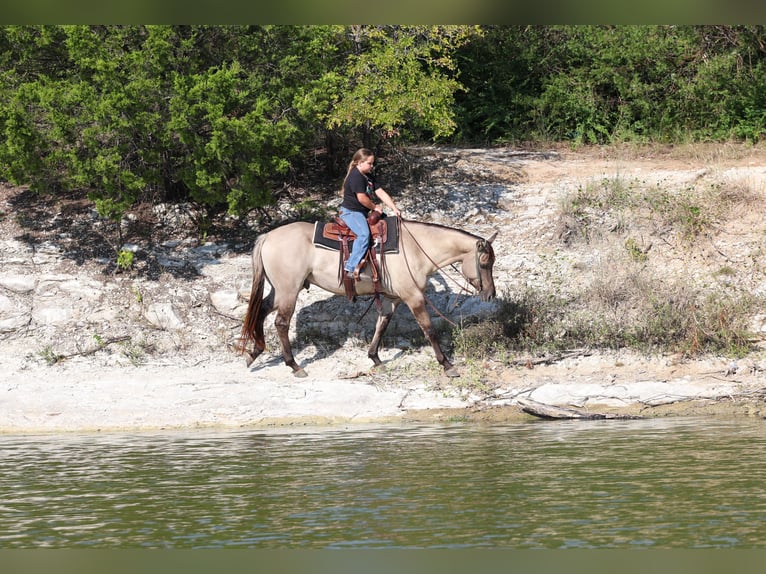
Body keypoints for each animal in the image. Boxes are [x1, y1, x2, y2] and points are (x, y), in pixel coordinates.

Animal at [237, 218, 498, 378]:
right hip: (289, 290)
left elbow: (381, 325)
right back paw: (294, 365)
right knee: (281, 323)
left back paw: (254, 352)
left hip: (279, 291)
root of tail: (268, 236)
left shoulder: (393, 299)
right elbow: (429, 329)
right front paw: (447, 364)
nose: (490, 294)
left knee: (261, 310)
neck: (415, 248)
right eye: (485, 263)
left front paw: (375, 358)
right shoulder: (414, 297)